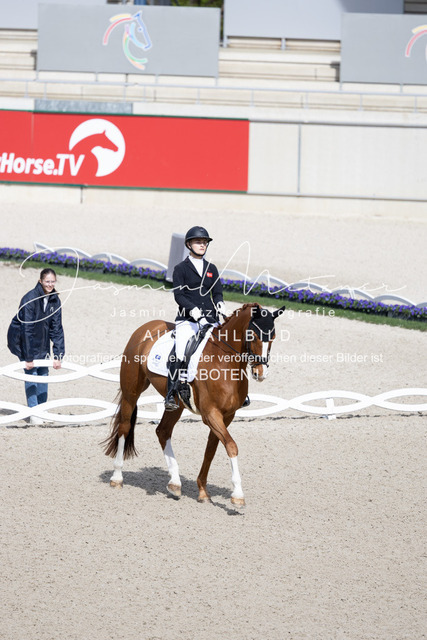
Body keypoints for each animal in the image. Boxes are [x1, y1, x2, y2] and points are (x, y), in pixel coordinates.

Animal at [102, 302, 285, 507]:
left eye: (273, 337)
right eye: (252, 335)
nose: (260, 374)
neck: (224, 362)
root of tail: (146, 327)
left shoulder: (227, 416)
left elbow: (211, 450)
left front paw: (203, 491)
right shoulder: (211, 414)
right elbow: (231, 446)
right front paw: (237, 495)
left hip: (177, 404)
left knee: (163, 431)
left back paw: (175, 483)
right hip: (131, 392)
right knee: (124, 427)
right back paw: (117, 477)